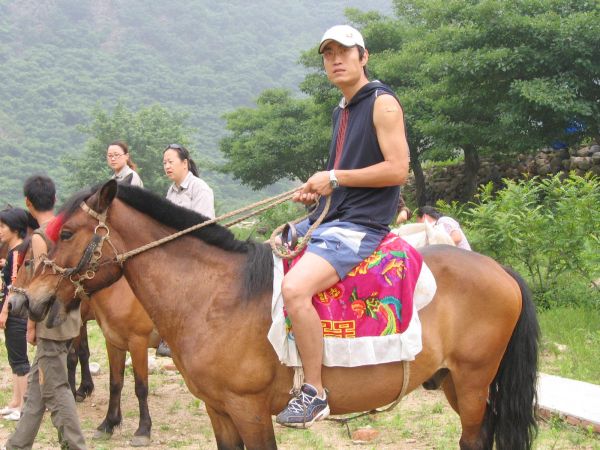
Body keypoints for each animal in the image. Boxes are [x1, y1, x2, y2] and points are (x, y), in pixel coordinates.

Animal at [9, 225, 159, 447]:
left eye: (27, 262)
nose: (13, 303)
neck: (121, 291)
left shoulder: (137, 342)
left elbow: (140, 387)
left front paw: (143, 430)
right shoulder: (113, 342)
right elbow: (114, 383)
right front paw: (108, 423)